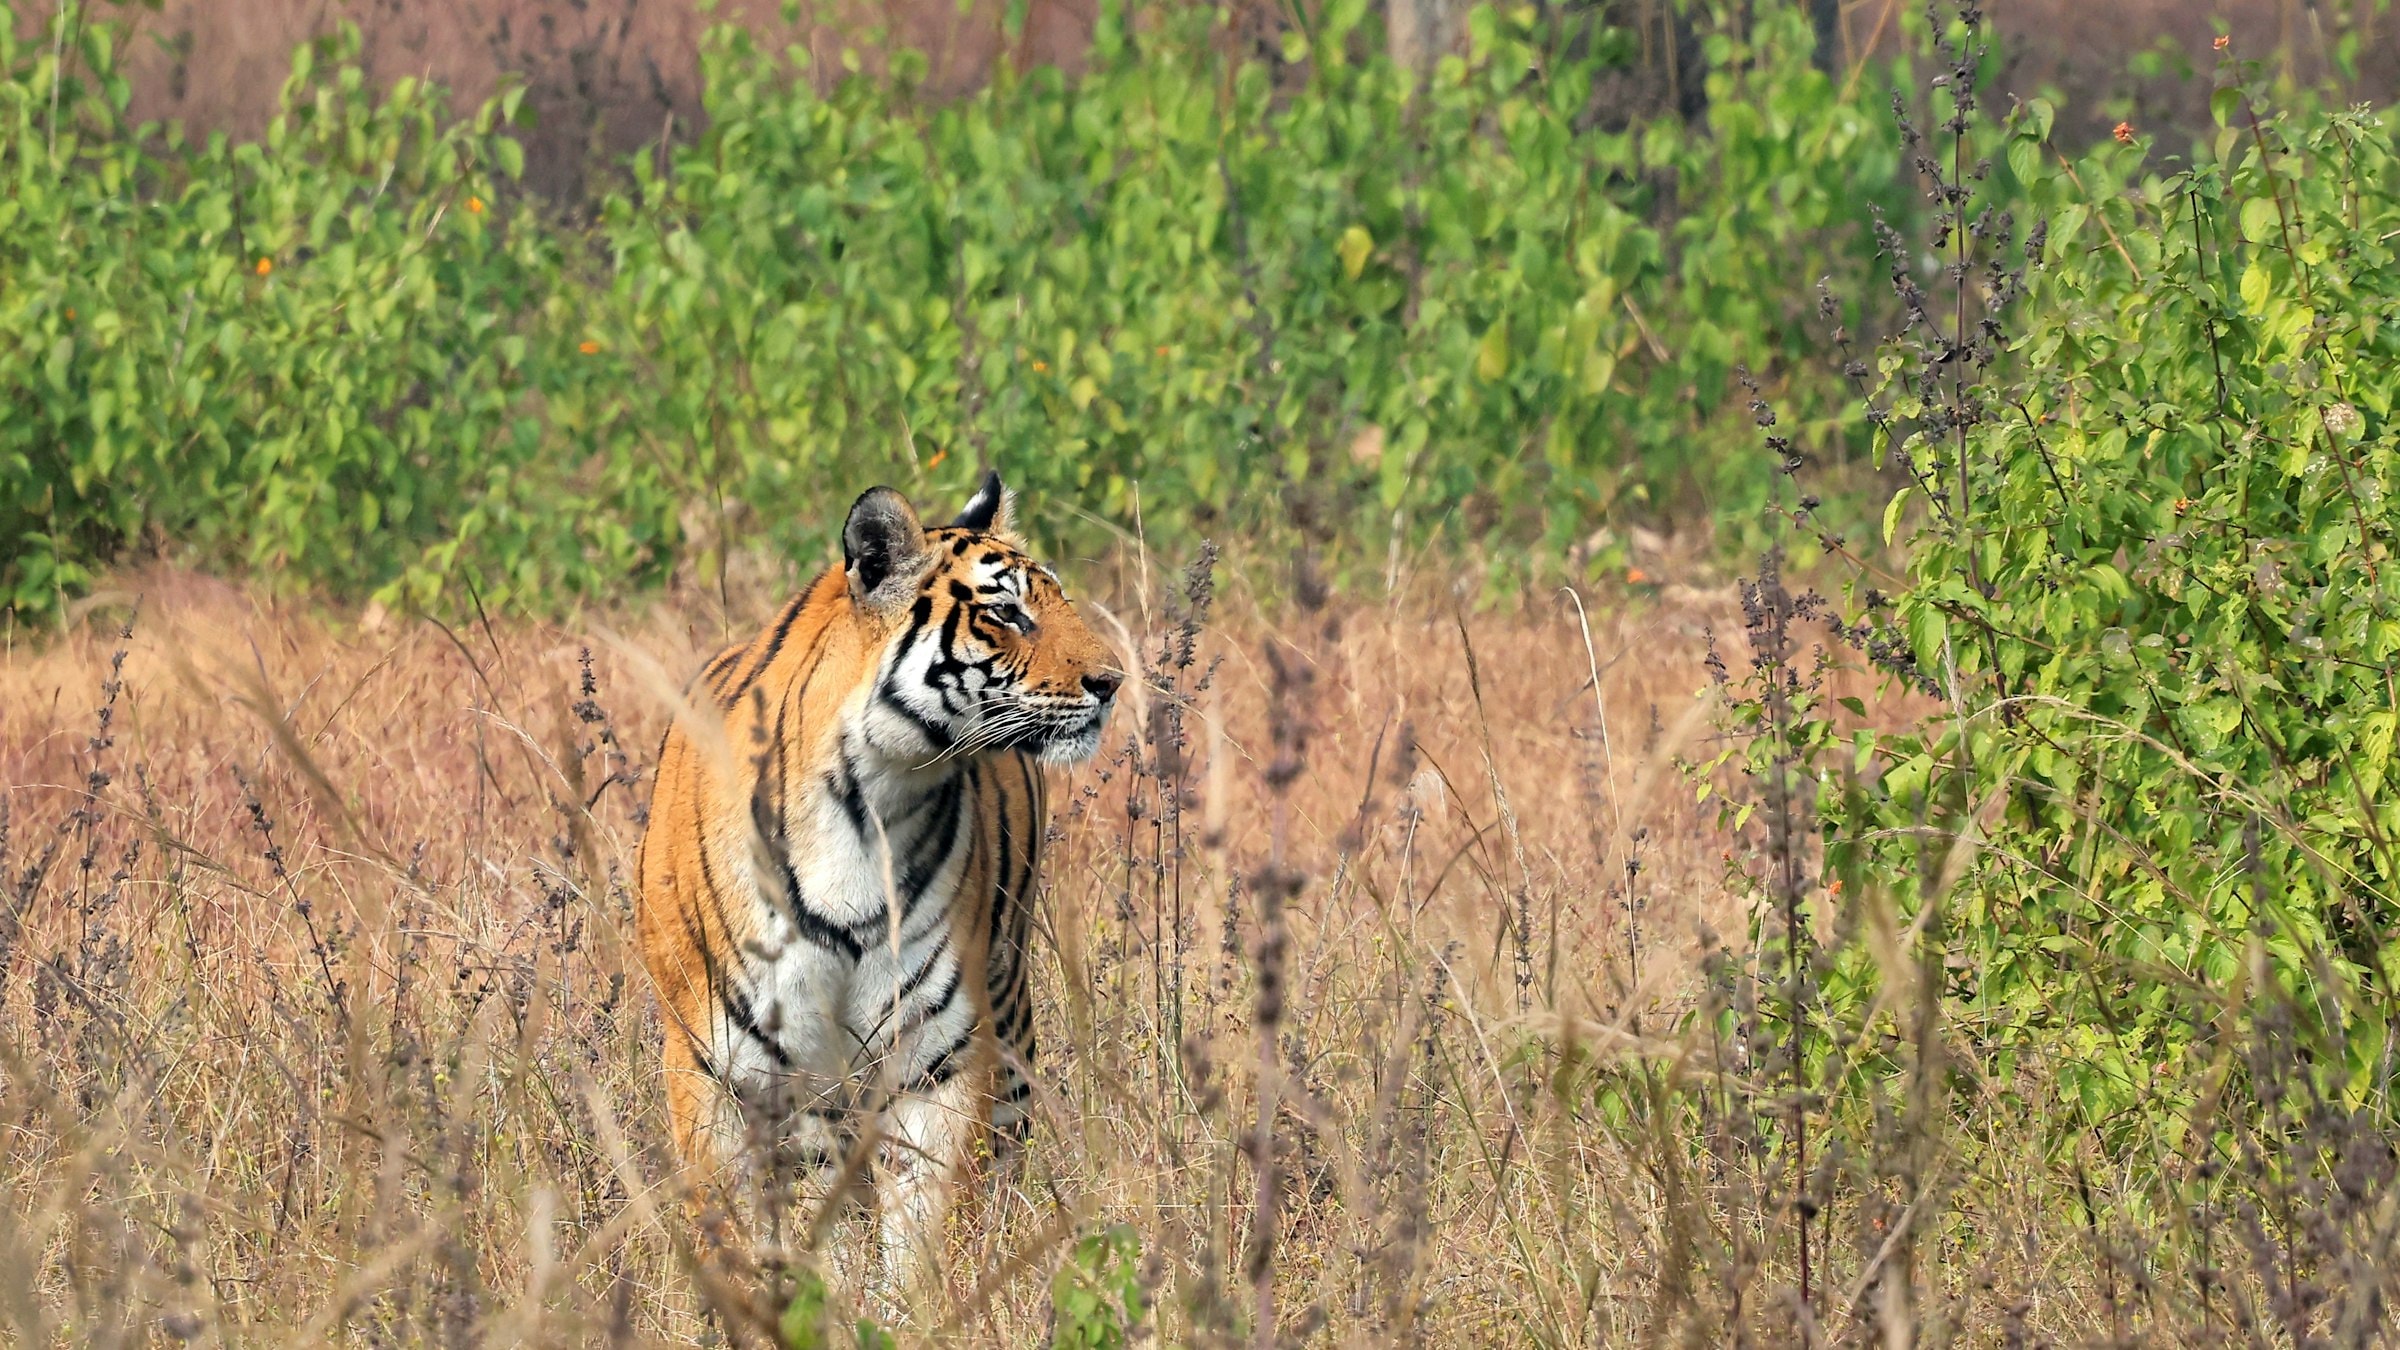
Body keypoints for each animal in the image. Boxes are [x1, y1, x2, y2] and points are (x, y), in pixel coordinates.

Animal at [634, 471, 1121, 1284]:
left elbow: (922, 1240)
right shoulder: (716, 1068)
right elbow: (737, 1234)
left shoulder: (938, 1058)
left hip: (1007, 1013)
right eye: (1007, 612)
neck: (869, 802)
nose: (1112, 682)